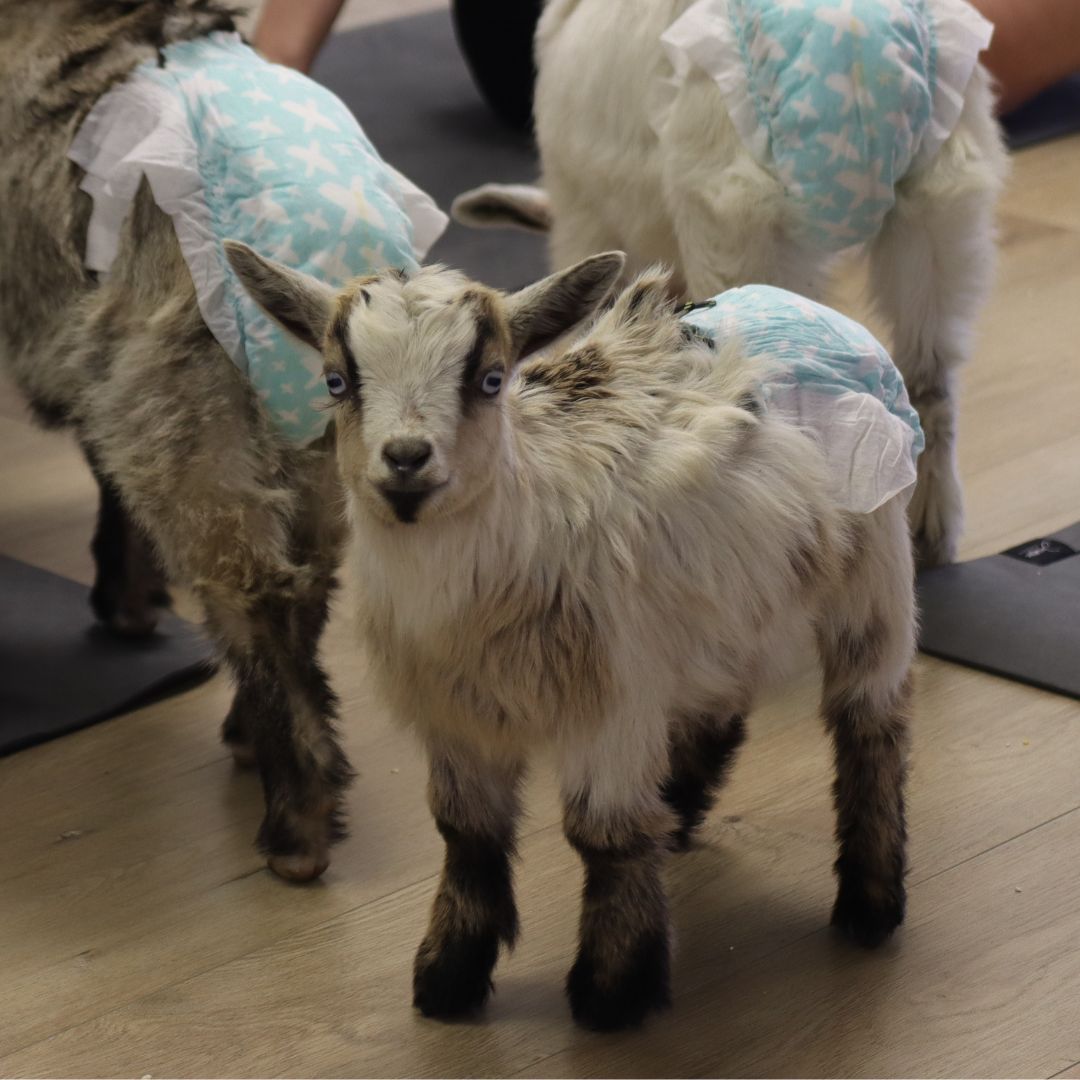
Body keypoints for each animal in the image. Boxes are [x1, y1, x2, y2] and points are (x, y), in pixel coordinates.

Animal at [229, 245, 916, 1031]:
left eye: (491, 378)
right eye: (337, 381)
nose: (405, 458)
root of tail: (807, 306)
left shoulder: (610, 701)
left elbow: (602, 831)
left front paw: (612, 992)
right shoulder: (458, 713)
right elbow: (465, 830)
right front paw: (448, 978)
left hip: (874, 565)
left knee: (871, 721)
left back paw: (870, 904)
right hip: (721, 601)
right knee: (721, 695)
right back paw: (681, 810)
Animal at [453, 0, 1009, 568]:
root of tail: (859, 46)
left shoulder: (588, 222)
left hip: (736, 226)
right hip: (938, 214)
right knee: (932, 380)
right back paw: (931, 530)